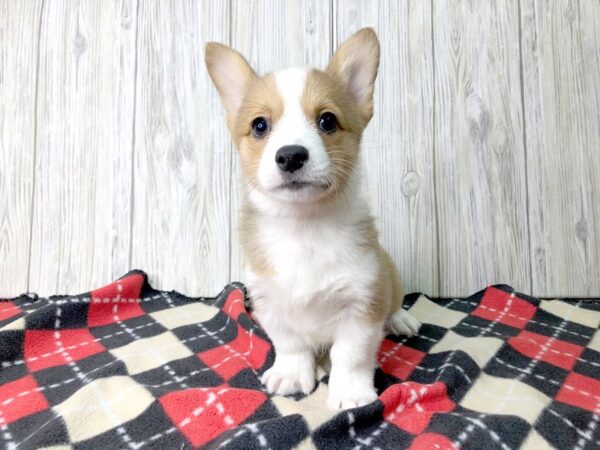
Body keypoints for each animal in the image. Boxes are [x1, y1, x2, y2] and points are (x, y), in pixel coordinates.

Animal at [206, 26, 422, 410]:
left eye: (327, 120)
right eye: (259, 125)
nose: (291, 156)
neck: (304, 227)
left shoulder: (362, 306)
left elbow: (351, 355)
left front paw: (349, 392)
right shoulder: (271, 305)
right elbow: (291, 345)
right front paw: (292, 374)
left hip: (390, 276)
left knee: (394, 303)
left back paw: (401, 319)